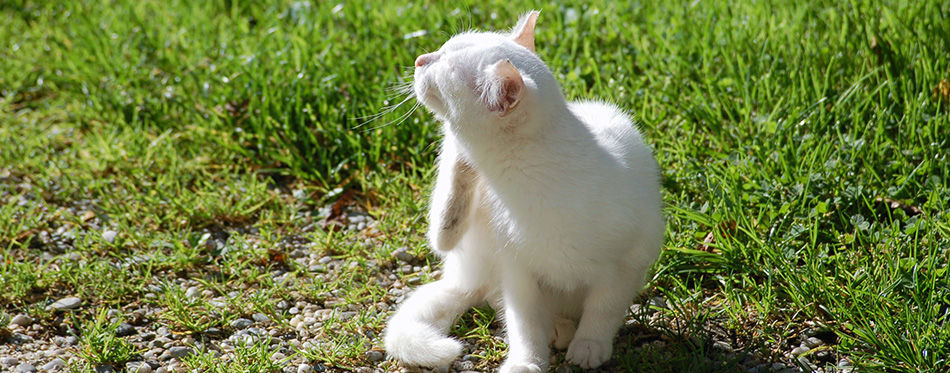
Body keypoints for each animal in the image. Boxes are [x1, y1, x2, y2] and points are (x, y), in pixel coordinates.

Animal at [384, 10, 664, 370]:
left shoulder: (625, 265)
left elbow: (603, 310)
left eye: (446, 67)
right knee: (453, 245)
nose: (420, 60)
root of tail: (465, 273)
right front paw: (526, 360)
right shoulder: (519, 274)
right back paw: (558, 328)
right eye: (441, 49)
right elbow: (524, 323)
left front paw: (590, 345)